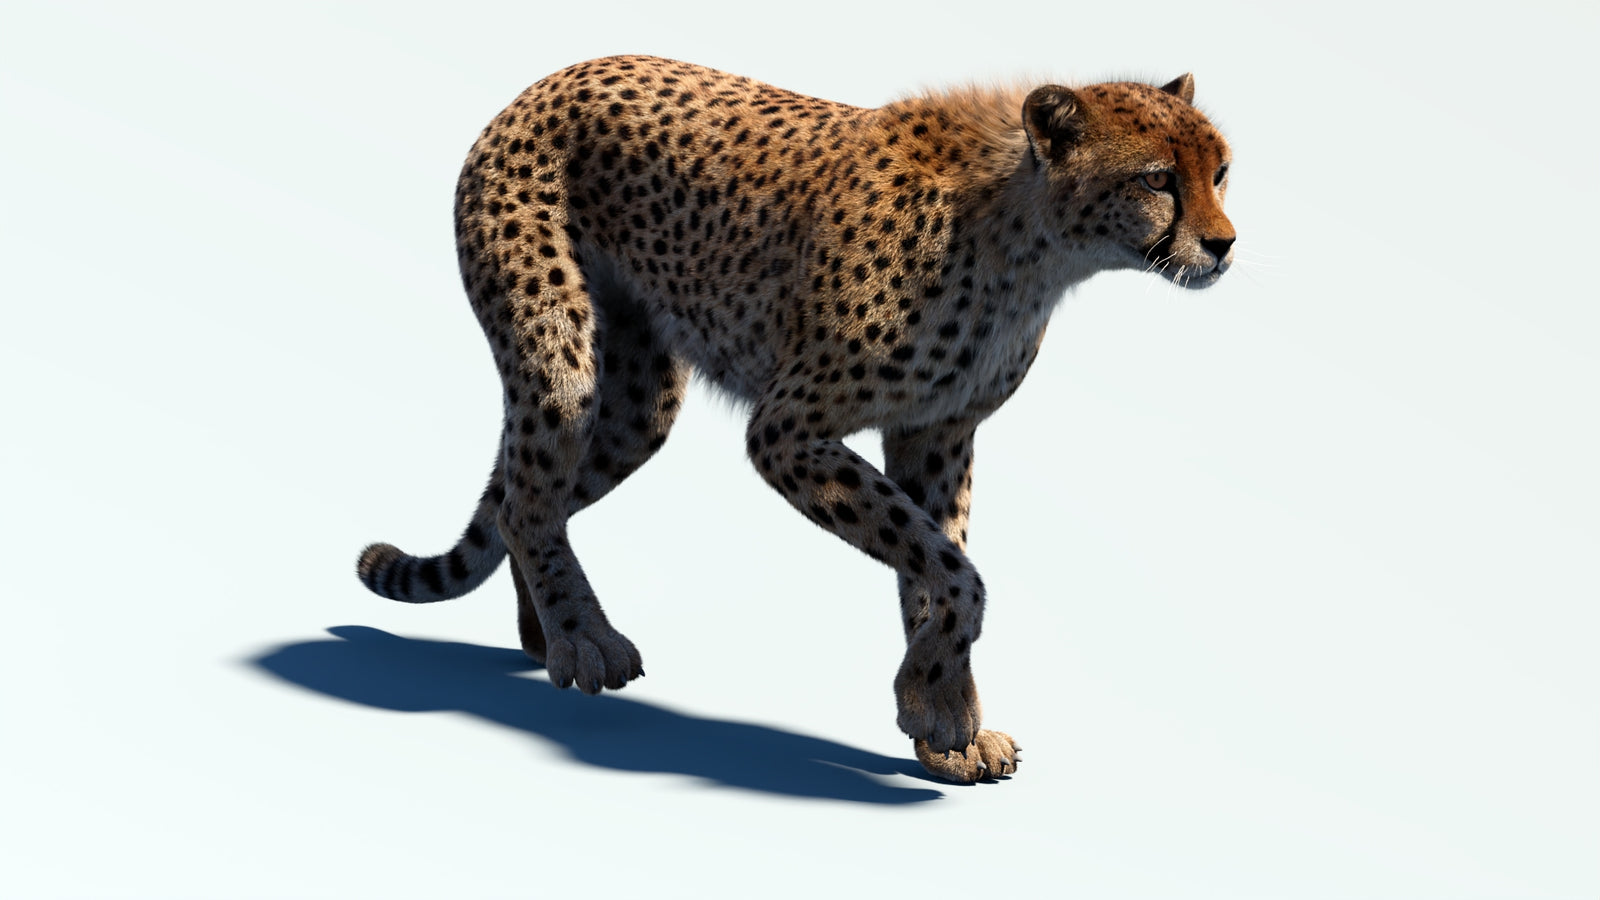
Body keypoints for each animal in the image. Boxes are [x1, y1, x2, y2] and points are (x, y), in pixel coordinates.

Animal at [356, 55, 1235, 783]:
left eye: (1222, 171)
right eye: (1158, 179)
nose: (1224, 244)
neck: (1029, 240)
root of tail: (548, 80)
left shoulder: (936, 433)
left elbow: (936, 564)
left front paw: (941, 719)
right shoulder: (788, 430)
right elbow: (953, 569)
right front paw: (937, 704)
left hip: (641, 403)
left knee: (521, 500)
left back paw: (542, 636)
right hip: (561, 363)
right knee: (528, 497)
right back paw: (582, 641)